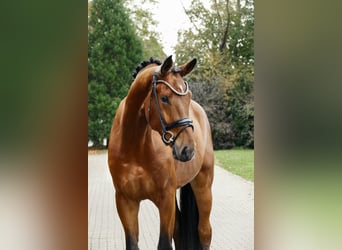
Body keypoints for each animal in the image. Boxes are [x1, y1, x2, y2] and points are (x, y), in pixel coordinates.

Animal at [108, 55, 214, 249]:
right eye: (164, 98)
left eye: (188, 97)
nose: (188, 149)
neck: (135, 147)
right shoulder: (126, 201)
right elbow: (132, 243)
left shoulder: (165, 200)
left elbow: (164, 243)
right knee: (180, 231)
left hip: (203, 185)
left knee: (204, 232)